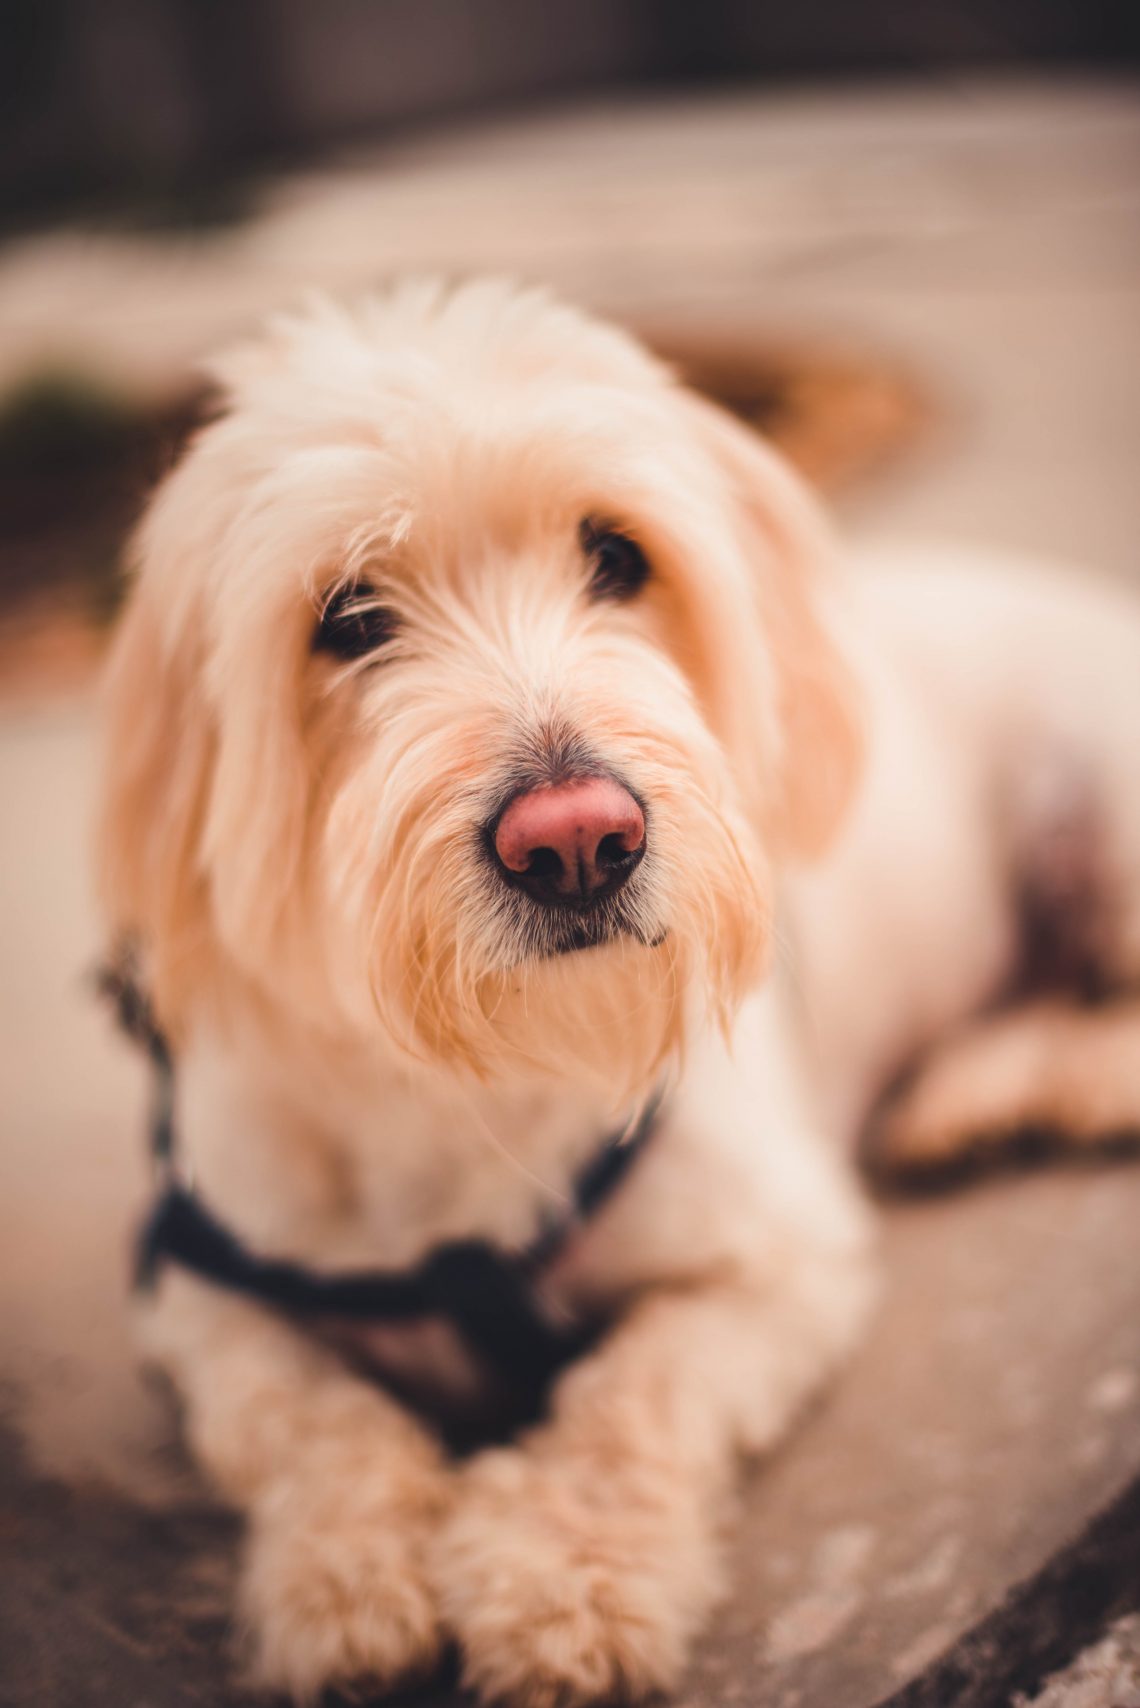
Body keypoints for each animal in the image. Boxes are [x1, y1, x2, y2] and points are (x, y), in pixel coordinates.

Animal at [95, 280, 1140, 1694]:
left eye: (618, 556)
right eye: (349, 619)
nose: (578, 838)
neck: (477, 1091)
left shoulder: (781, 1264)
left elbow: (637, 1396)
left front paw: (562, 1576)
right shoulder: (198, 1291)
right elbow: (301, 1416)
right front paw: (344, 1575)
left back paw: (1003, 1083)